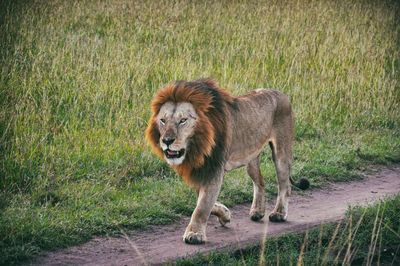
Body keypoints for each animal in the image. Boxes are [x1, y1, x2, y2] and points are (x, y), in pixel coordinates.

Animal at [145, 79, 310, 245]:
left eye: (183, 120)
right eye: (163, 120)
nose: (167, 141)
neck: (197, 146)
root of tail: (282, 94)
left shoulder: (214, 169)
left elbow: (202, 206)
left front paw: (194, 234)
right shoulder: (200, 170)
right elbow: (205, 202)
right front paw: (225, 214)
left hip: (281, 152)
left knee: (285, 185)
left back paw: (279, 214)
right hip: (251, 158)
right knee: (260, 182)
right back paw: (257, 211)